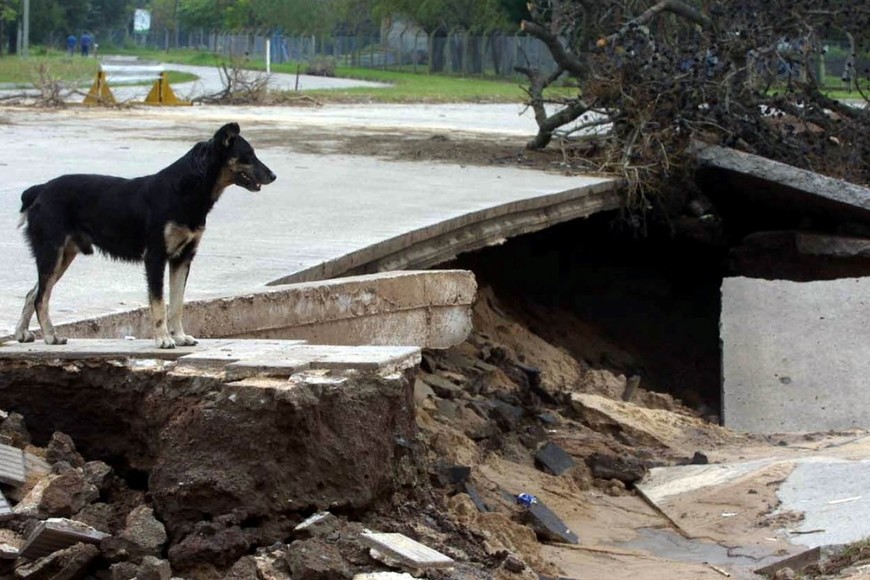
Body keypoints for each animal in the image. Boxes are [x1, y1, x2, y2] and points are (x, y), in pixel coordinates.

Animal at [15, 122, 278, 348]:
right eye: (249, 154)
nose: (273, 176)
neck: (185, 189)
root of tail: (39, 190)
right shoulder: (155, 257)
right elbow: (159, 303)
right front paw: (163, 340)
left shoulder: (183, 258)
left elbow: (177, 303)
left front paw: (180, 337)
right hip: (52, 252)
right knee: (40, 298)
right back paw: (50, 336)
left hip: (62, 256)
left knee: (32, 293)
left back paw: (22, 333)